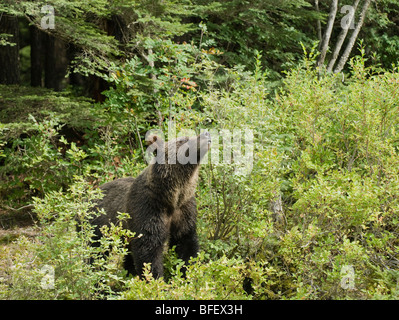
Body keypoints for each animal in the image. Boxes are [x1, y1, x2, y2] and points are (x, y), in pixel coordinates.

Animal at [89, 130, 211, 278]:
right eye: (182, 140)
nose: (206, 134)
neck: (171, 196)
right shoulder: (147, 208)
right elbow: (148, 250)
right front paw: (156, 278)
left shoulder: (184, 209)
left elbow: (186, 243)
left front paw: (187, 273)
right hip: (98, 227)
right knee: (95, 255)